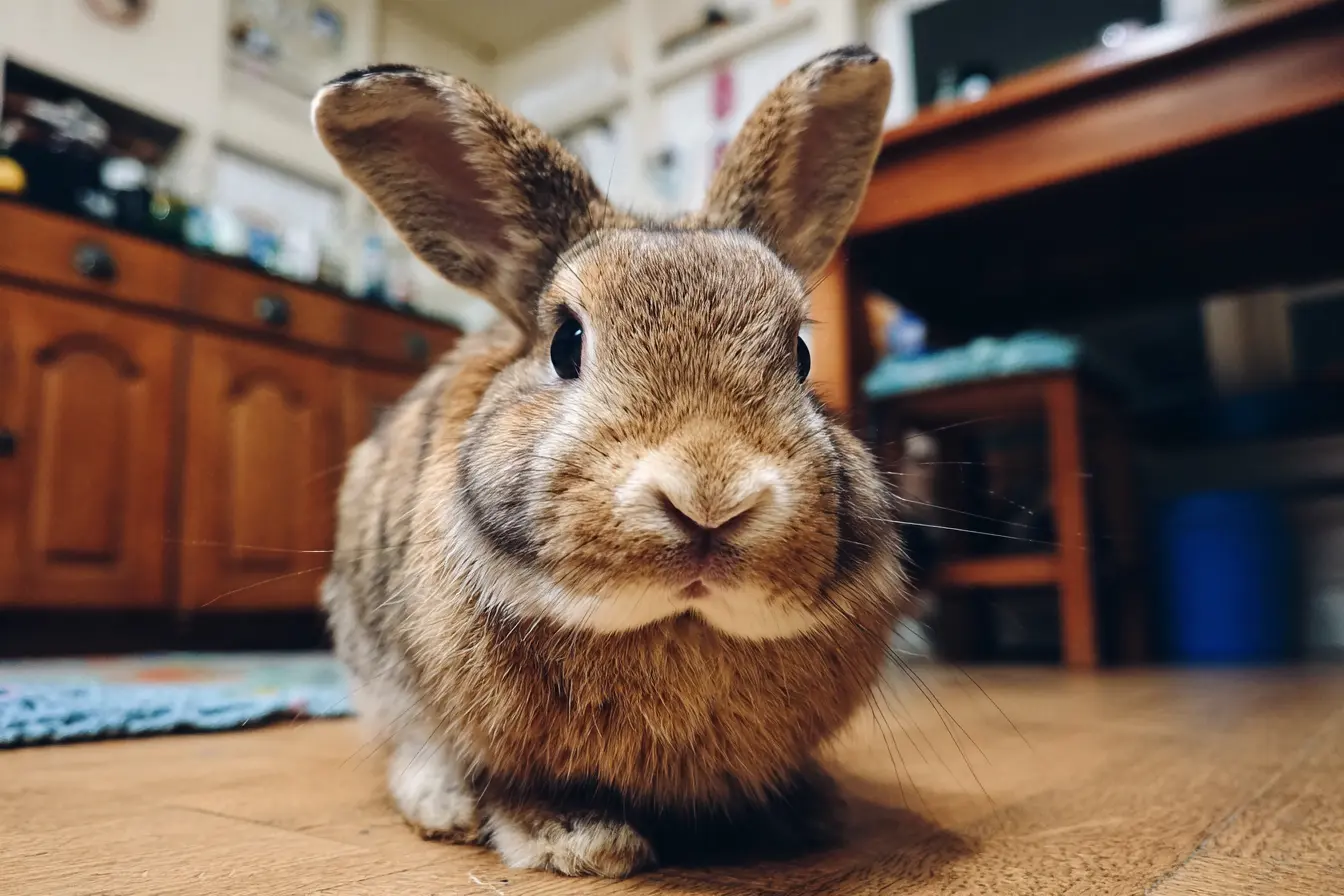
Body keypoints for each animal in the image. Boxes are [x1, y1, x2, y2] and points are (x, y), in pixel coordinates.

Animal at [313, 45, 904, 878]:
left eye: (801, 354)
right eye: (567, 343)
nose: (710, 498)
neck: (681, 629)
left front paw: (805, 813)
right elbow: (518, 784)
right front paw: (579, 842)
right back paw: (444, 805)